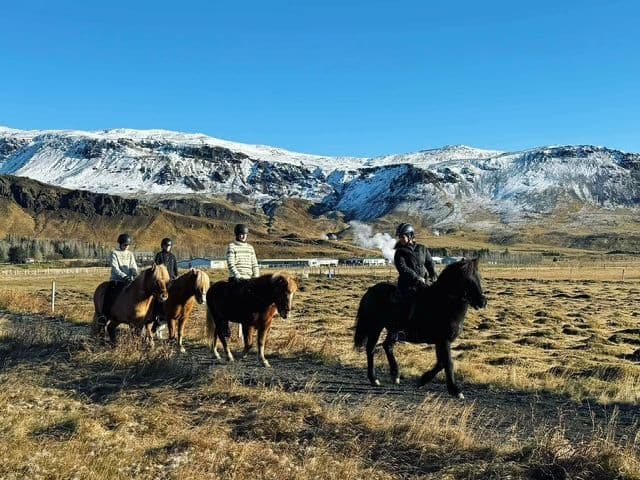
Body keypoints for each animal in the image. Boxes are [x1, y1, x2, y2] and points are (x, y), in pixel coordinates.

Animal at [353, 258, 487, 399]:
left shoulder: (441, 341)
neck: (443, 303)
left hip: (392, 330)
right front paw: (455, 390)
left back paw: (395, 375)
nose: (483, 302)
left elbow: (441, 363)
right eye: (468, 279)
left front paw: (422, 381)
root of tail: (371, 290)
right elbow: (448, 363)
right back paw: (374, 379)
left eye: (478, 277)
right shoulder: (443, 340)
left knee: (387, 346)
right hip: (375, 326)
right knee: (371, 349)